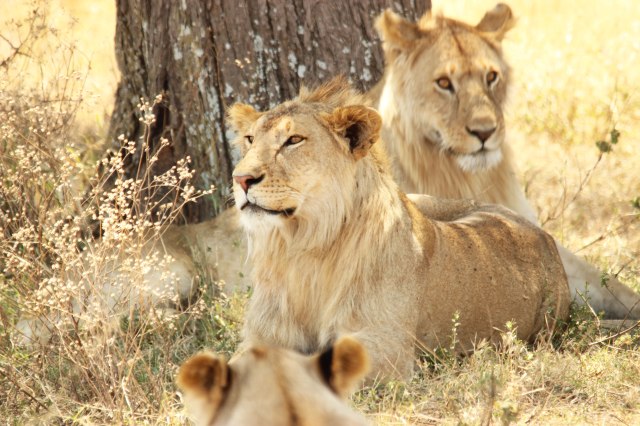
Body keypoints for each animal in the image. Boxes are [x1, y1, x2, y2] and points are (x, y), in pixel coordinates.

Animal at [226, 78, 570, 379]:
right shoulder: (262, 336)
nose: (240, 178)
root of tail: (541, 234)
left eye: (294, 140)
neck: (302, 247)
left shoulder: (386, 350)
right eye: (250, 140)